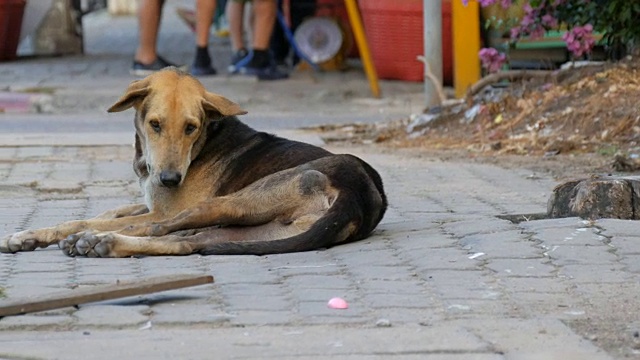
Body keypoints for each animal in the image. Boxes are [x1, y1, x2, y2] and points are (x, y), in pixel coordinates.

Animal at [0, 67, 388, 258]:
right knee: (187, 244)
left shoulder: (162, 209)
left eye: (191, 127)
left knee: (159, 230)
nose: (171, 179)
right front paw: (29, 236)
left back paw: (98, 240)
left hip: (232, 201)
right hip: (252, 230)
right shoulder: (151, 201)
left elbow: (103, 219)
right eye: (155, 124)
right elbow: (105, 211)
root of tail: (360, 197)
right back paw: (104, 245)